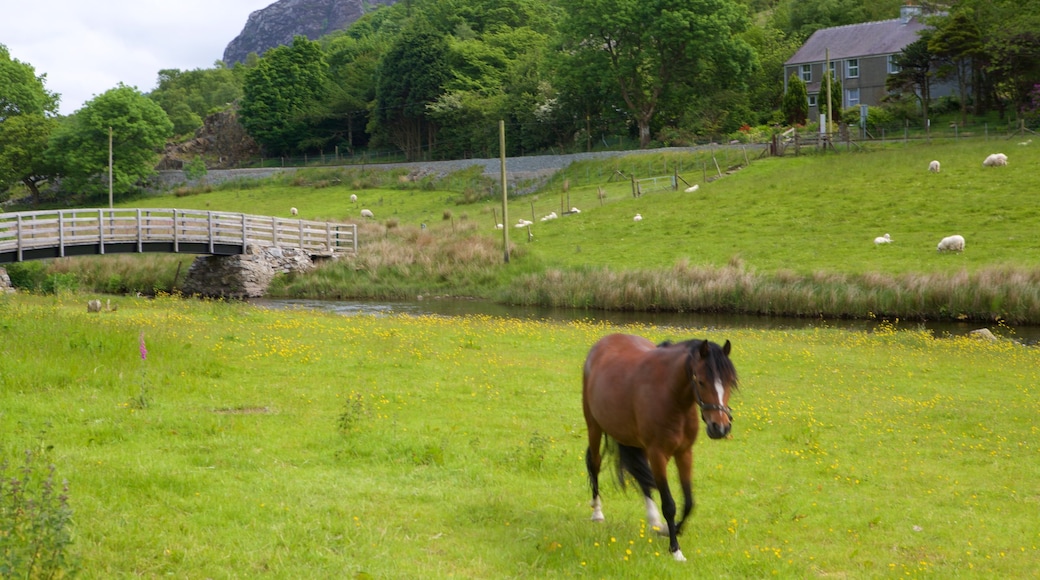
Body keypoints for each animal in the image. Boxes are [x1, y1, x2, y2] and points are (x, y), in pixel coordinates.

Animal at [582, 336, 736, 565]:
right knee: (595, 463)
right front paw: (675, 550)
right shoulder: (658, 454)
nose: (720, 428)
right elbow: (670, 505)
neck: (672, 396)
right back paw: (597, 512)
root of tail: (603, 343)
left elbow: (689, 502)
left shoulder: (684, 453)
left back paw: (654, 520)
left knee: (642, 477)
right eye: (701, 381)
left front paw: (670, 531)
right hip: (595, 427)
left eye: (729, 382)